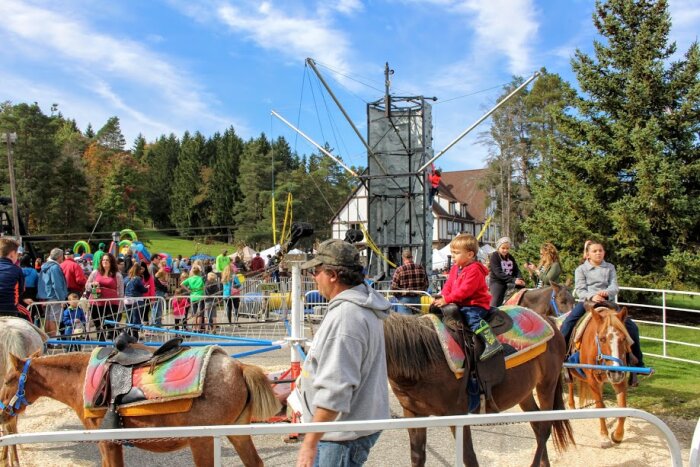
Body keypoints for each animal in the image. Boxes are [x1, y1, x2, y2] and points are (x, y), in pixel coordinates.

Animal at [3, 352, 282, 467]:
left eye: (6, 381)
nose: (2, 413)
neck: (82, 378)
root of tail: (239, 367)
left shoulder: (108, 443)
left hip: (202, 440)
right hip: (237, 434)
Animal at [382, 314, 576, 467]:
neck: (427, 358)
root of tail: (550, 321)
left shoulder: (457, 414)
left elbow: (468, 456)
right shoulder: (413, 413)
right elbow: (417, 457)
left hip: (547, 385)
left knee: (545, 429)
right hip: (525, 393)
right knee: (536, 424)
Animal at [568, 302, 632, 448]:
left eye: (624, 338)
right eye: (602, 339)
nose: (615, 373)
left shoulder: (620, 380)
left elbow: (622, 408)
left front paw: (617, 436)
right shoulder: (592, 380)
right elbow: (600, 406)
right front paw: (604, 436)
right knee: (569, 383)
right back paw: (571, 404)